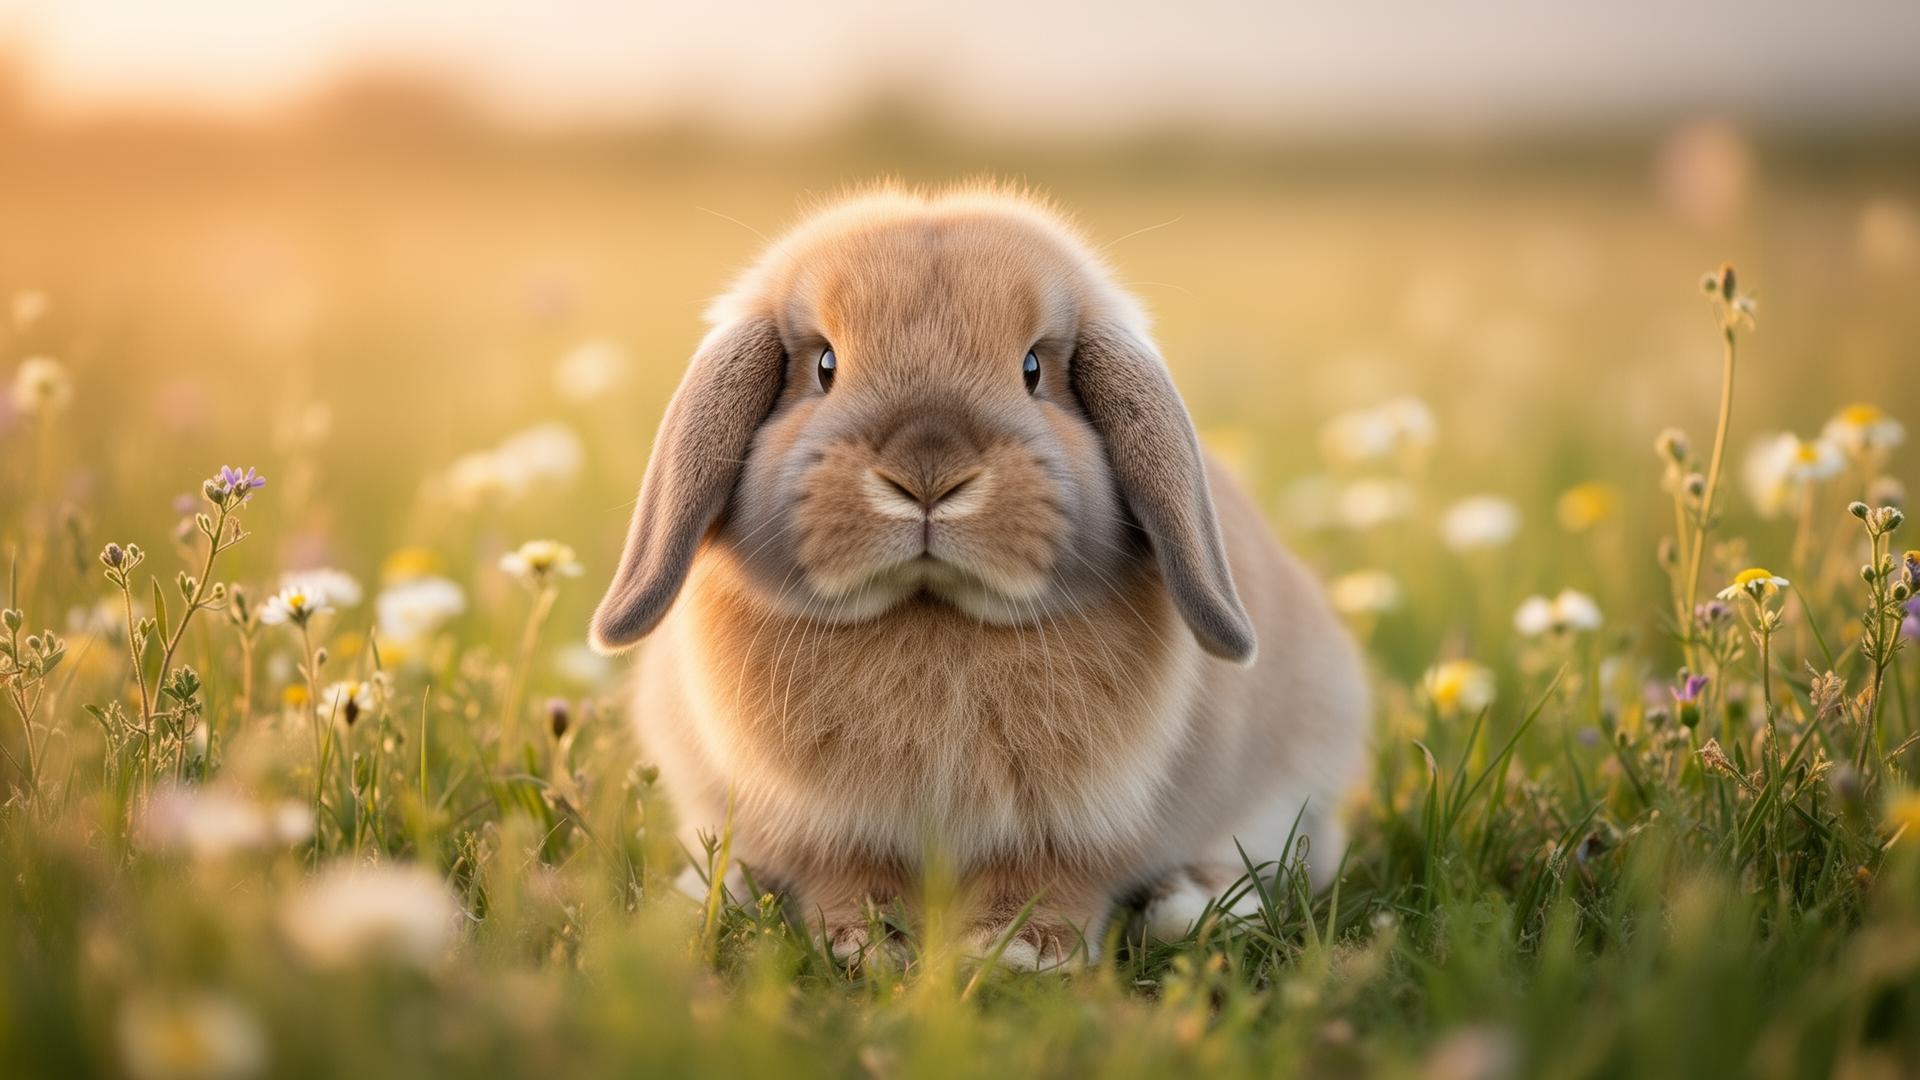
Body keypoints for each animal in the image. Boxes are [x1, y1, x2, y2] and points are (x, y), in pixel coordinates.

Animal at [589, 183, 1368, 969]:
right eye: (825, 366)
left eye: (1033, 369)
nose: (927, 472)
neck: (933, 614)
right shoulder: (828, 825)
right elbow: (850, 876)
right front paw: (868, 945)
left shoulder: (1074, 825)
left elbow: (1050, 878)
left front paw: (1021, 951)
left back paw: (1190, 905)